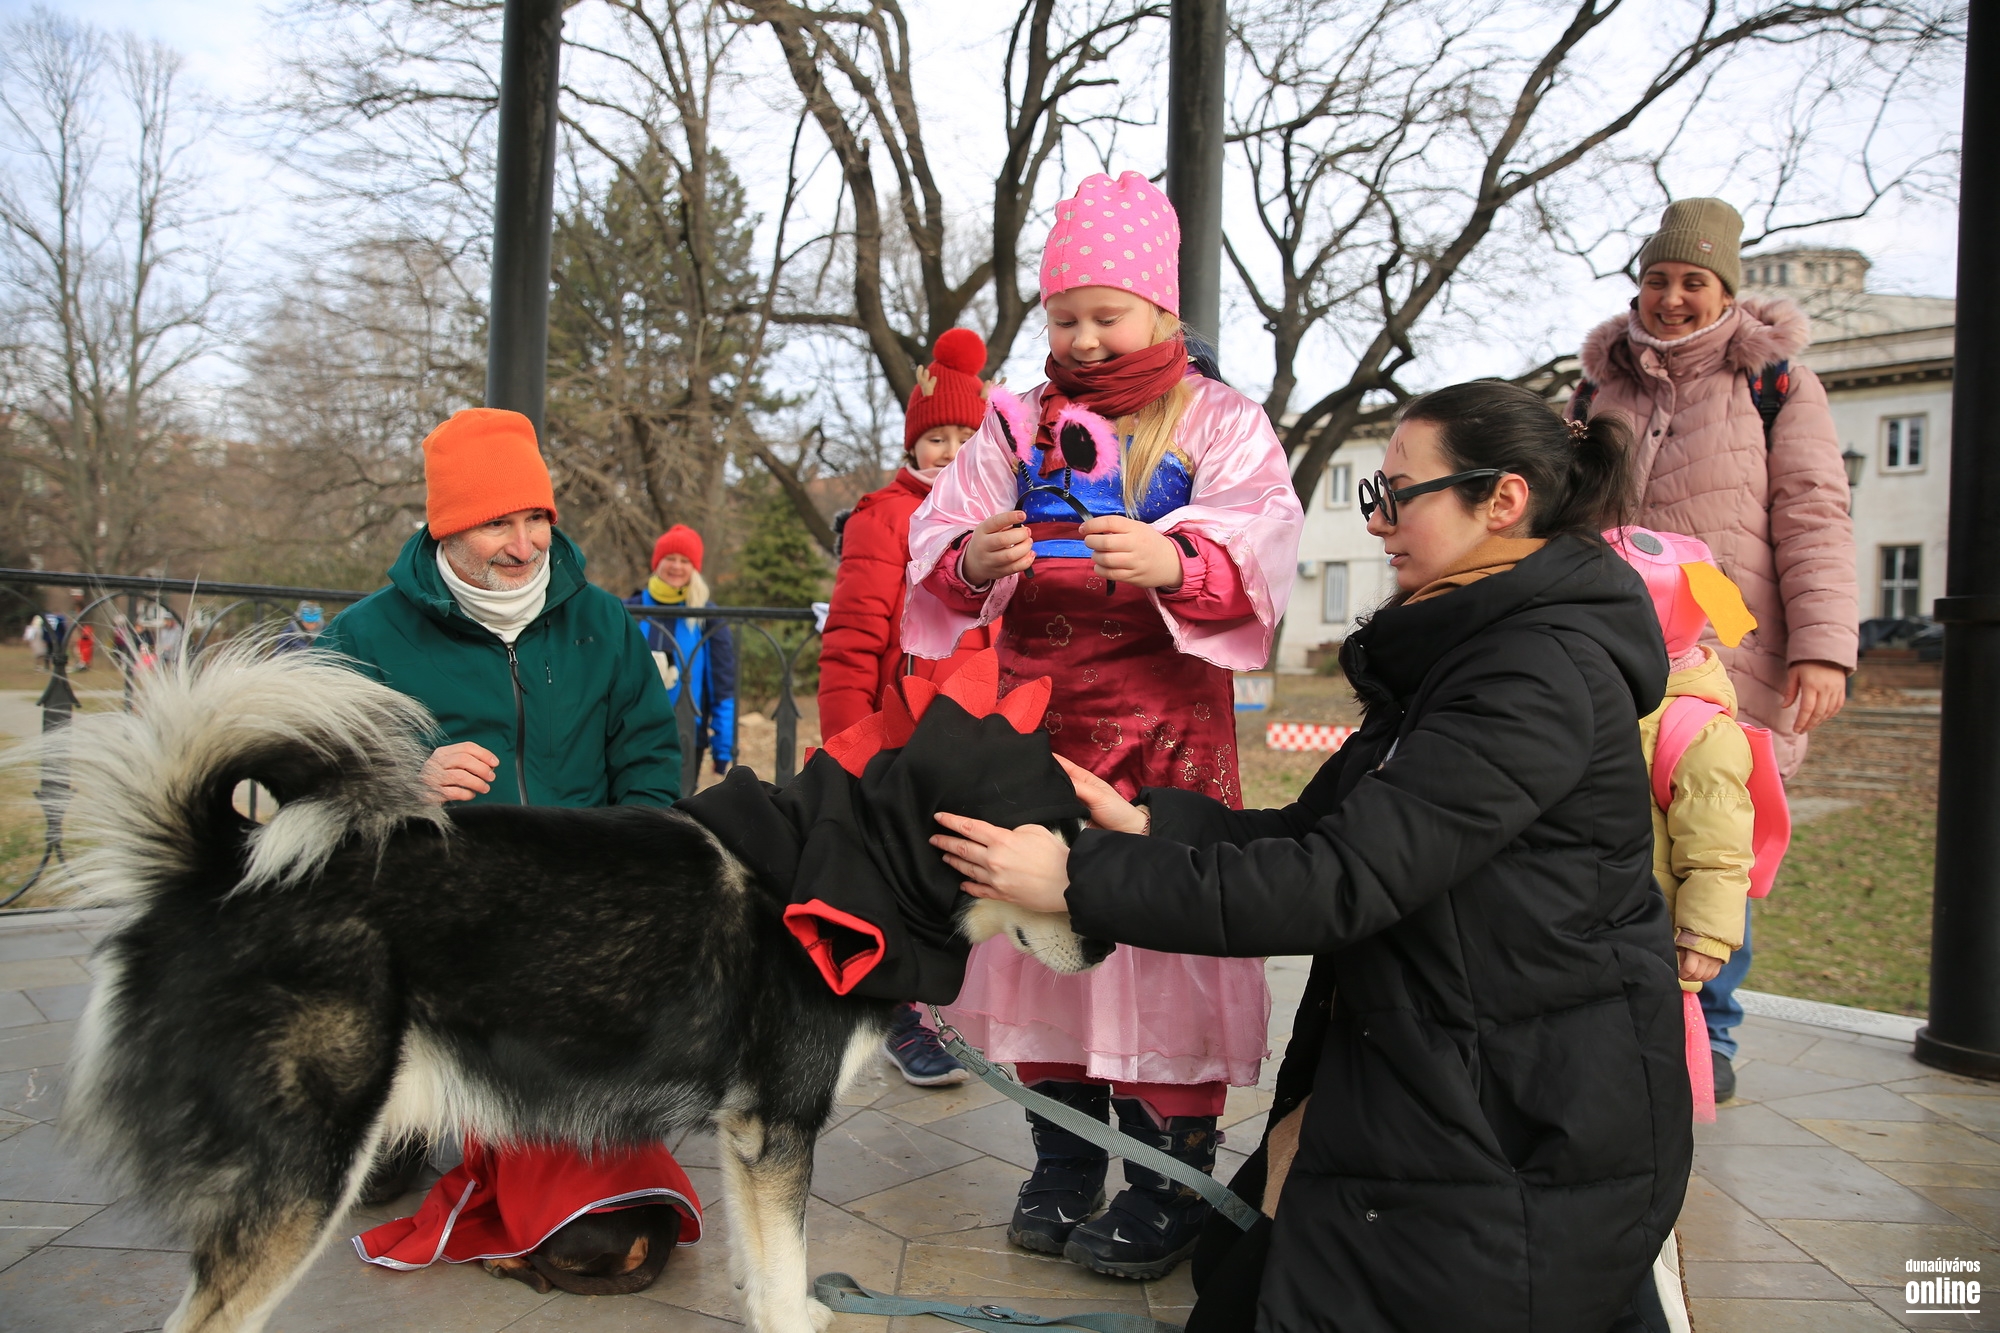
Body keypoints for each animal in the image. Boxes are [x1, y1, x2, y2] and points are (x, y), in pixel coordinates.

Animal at [41, 645, 1108, 1333]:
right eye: (1048, 838)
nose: (1104, 937)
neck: (847, 870)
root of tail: (215, 869)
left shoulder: (747, 1138)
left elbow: (761, 1267)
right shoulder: (779, 1132)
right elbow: (780, 1265)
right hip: (303, 1174)